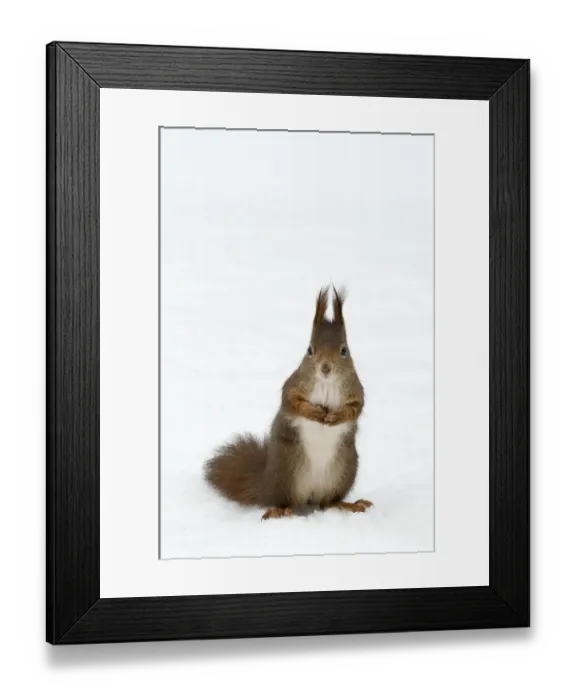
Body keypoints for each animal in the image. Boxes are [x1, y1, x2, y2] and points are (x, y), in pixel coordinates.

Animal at [203, 285, 373, 521]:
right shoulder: (292, 385)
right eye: (309, 350)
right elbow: (292, 402)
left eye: (344, 350)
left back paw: (347, 505)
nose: (325, 368)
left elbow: (355, 408)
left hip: (344, 471)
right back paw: (280, 511)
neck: (326, 383)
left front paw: (335, 416)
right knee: (286, 501)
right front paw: (313, 412)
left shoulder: (356, 392)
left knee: (328, 502)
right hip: (288, 472)